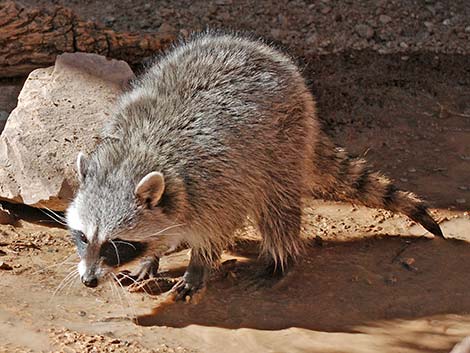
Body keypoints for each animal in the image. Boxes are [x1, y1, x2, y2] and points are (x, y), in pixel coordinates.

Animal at [66, 31, 444, 298]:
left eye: (116, 244)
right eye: (83, 236)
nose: (88, 281)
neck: (137, 155)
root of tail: (267, 53)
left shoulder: (217, 181)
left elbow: (216, 229)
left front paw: (197, 268)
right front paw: (152, 257)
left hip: (281, 144)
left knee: (278, 209)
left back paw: (281, 261)